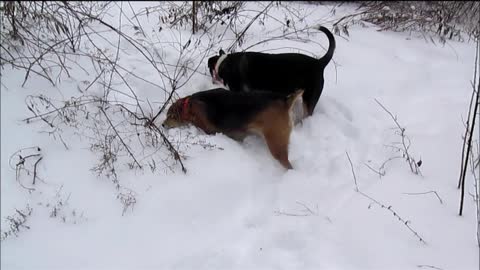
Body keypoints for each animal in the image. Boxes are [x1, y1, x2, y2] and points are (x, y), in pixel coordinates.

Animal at [162, 88, 304, 169]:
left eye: (170, 116)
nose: (163, 125)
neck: (189, 106)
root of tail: (285, 100)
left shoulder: (207, 129)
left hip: (276, 143)